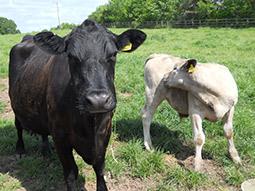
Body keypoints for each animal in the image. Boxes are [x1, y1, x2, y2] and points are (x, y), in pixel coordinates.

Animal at [8, 19, 146, 191]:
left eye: (113, 54)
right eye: (71, 56)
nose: (98, 100)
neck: (89, 126)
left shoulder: (105, 132)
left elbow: (99, 167)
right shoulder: (60, 136)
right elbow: (71, 172)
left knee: (43, 132)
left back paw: (46, 150)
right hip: (14, 104)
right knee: (18, 127)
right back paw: (20, 149)